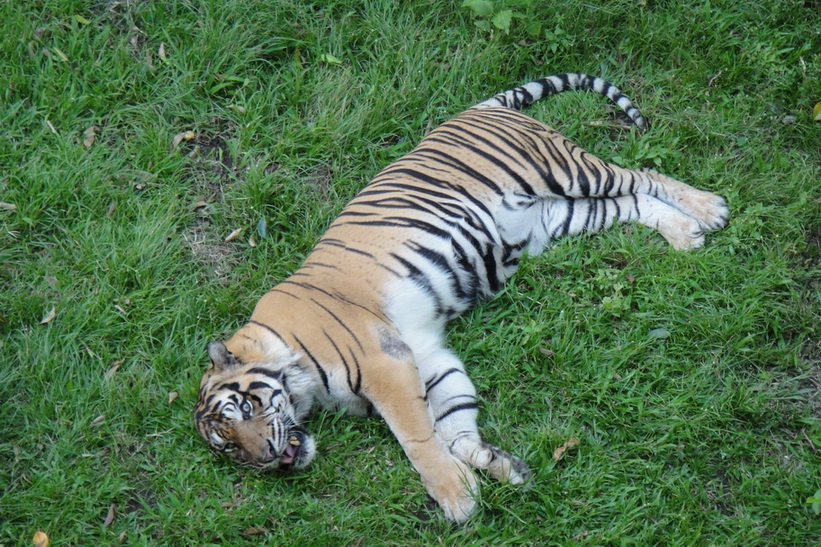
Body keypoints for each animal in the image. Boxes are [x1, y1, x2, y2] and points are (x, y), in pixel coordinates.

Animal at [195, 71, 728, 524]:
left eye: (245, 411)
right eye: (229, 448)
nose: (268, 459)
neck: (299, 375)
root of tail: (478, 107)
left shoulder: (385, 364)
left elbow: (417, 439)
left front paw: (456, 499)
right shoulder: (429, 357)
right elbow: (453, 425)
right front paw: (499, 465)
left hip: (567, 171)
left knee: (643, 174)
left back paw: (709, 209)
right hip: (557, 218)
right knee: (632, 202)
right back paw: (685, 234)